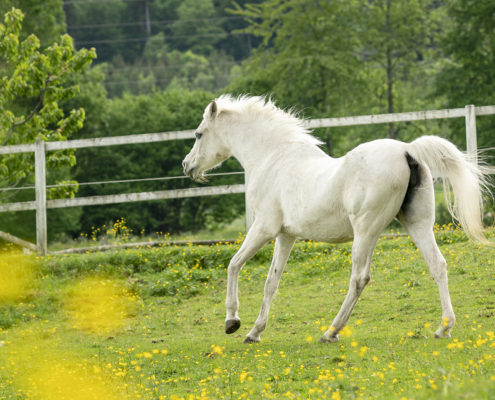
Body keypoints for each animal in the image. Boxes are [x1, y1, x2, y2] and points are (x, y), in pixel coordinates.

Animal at [183, 94, 492, 344]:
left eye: (198, 134)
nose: (187, 166)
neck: (273, 158)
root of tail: (407, 151)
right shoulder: (286, 235)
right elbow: (271, 282)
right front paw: (255, 332)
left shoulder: (264, 229)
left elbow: (234, 265)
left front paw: (232, 321)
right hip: (417, 224)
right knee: (437, 265)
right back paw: (444, 328)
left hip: (366, 231)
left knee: (359, 278)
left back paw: (331, 332)